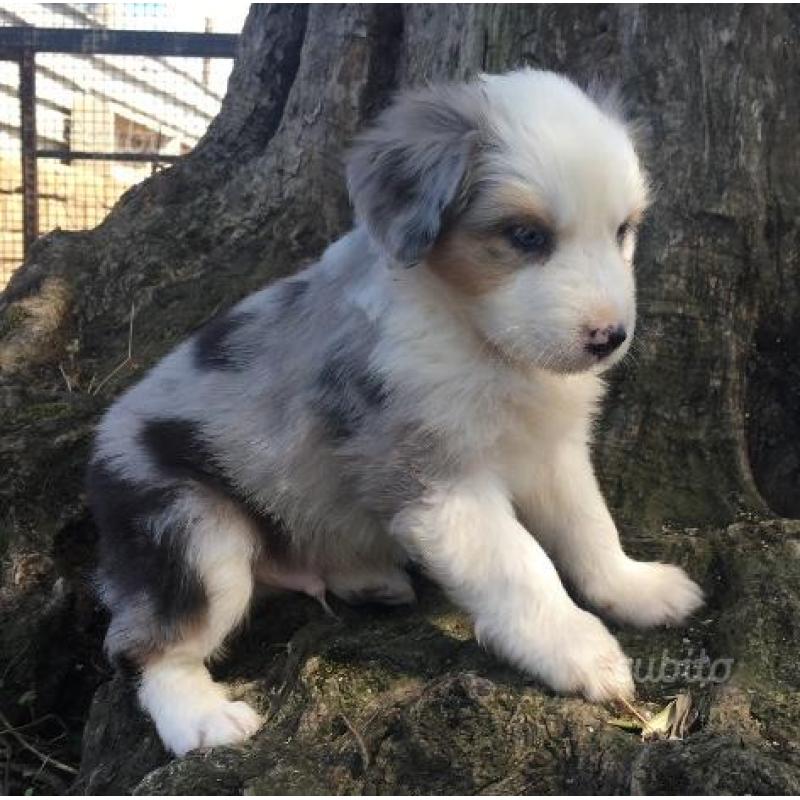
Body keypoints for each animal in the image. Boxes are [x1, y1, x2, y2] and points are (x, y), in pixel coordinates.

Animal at [84, 70, 704, 756]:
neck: (481, 340)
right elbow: (521, 565)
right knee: (146, 645)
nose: (610, 338)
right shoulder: (435, 478)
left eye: (623, 230)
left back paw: (367, 578)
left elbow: (589, 525)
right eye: (526, 236)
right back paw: (201, 717)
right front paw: (578, 650)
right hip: (189, 525)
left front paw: (633, 587)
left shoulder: (553, 453)